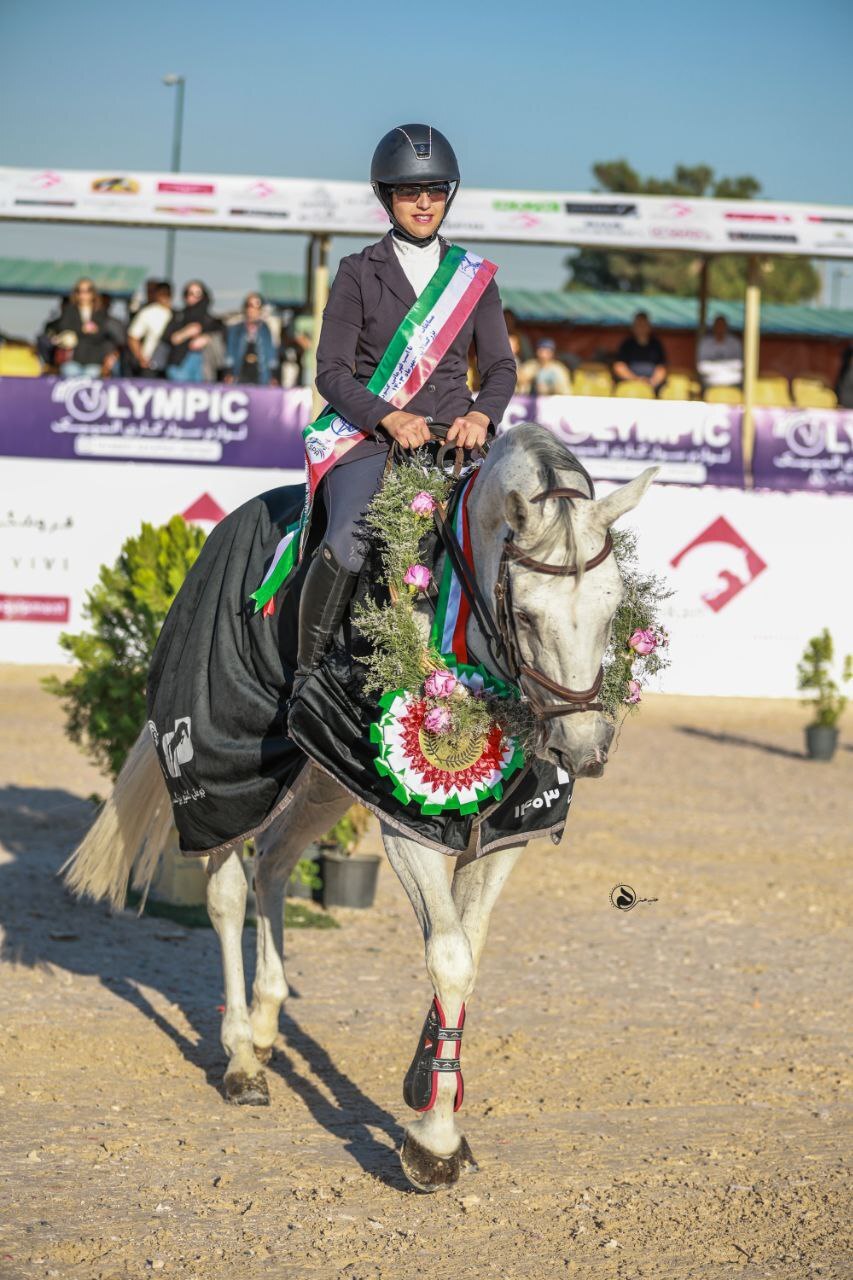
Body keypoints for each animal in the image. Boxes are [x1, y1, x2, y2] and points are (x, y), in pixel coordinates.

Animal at [63, 424, 653, 1192]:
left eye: (615, 610)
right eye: (526, 615)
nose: (583, 748)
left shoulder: (506, 832)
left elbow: (469, 947)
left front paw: (429, 1085)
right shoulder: (405, 825)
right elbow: (449, 957)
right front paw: (433, 1143)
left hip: (320, 778)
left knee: (273, 864)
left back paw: (265, 1025)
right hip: (228, 774)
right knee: (226, 889)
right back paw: (241, 1059)